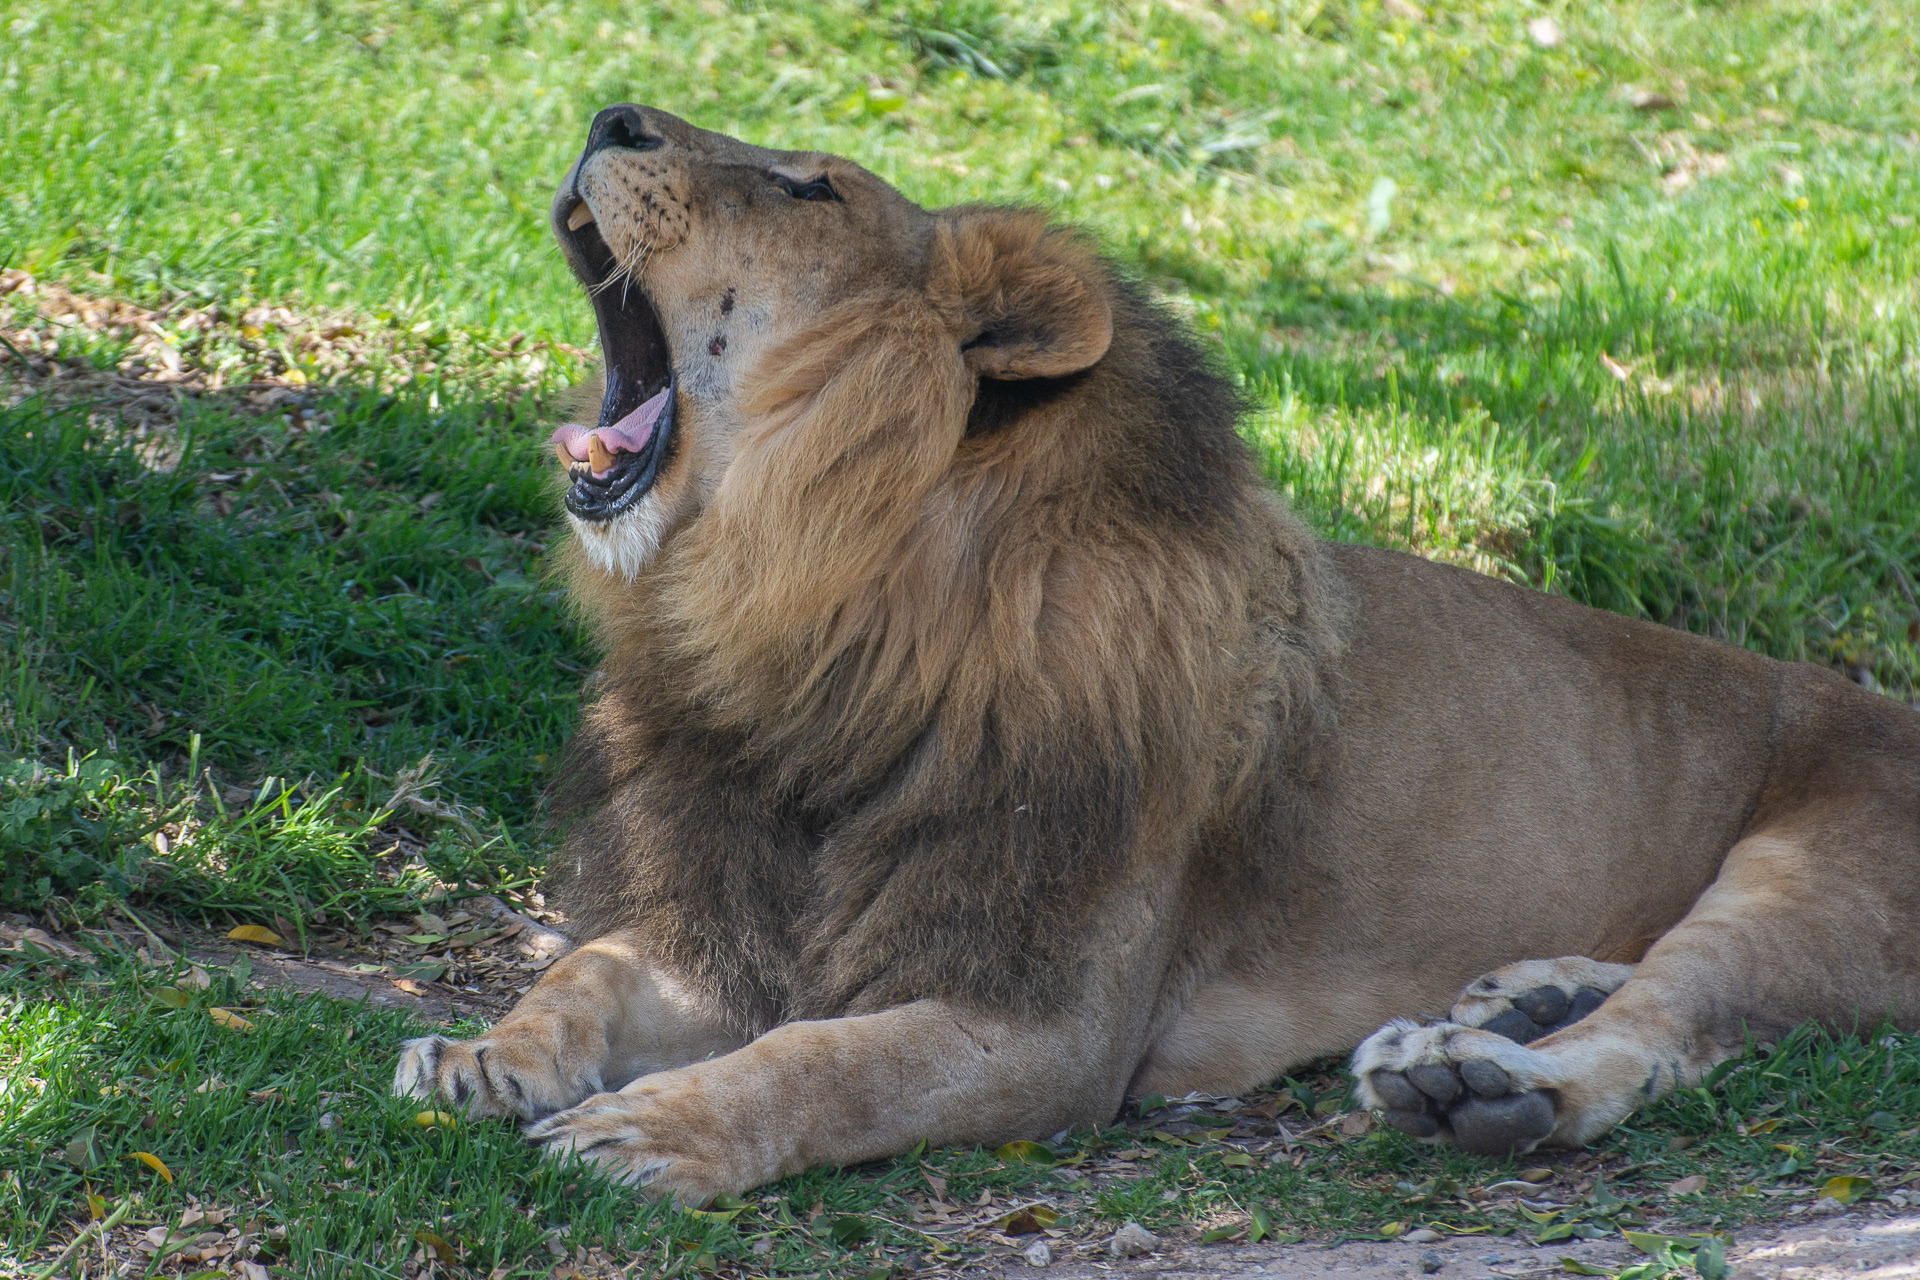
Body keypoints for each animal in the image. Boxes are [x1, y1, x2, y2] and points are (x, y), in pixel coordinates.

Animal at [394, 104, 1920, 1203]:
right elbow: (589, 971)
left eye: (810, 190)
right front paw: (484, 1055)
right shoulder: (726, 913)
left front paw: (651, 1130)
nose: (610, 112)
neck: (812, 621)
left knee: (1672, 1025)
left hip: (1816, 881)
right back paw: (1518, 995)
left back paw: (1488, 1086)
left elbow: (825, 1064)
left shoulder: (1045, 1018)